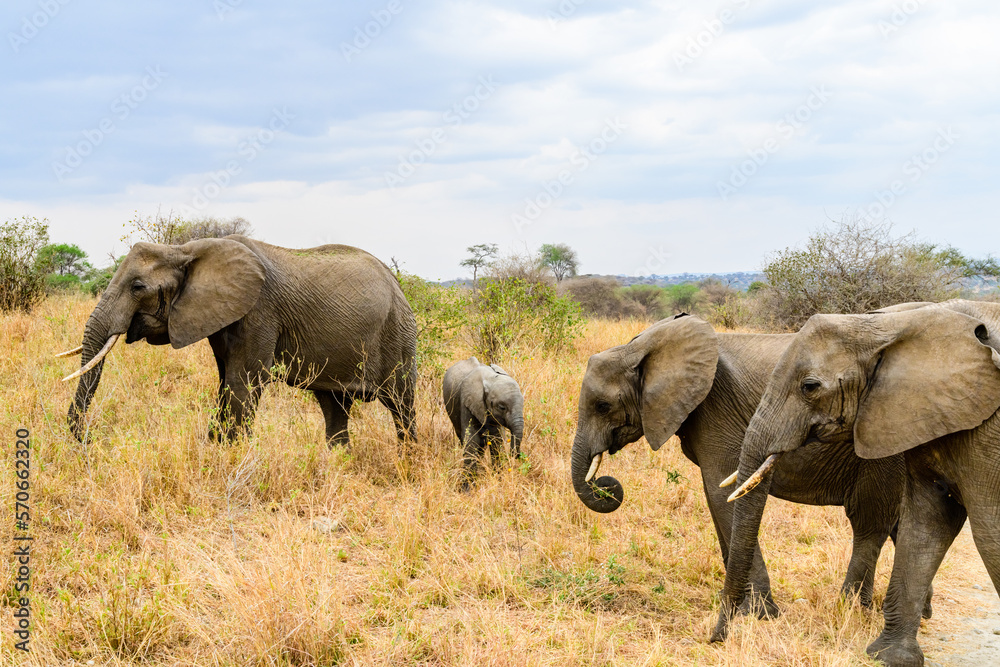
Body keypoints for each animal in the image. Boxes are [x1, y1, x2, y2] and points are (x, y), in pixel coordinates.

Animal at [58, 236, 418, 447]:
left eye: (137, 287)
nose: (89, 439)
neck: (187, 249)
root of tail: (398, 284)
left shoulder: (260, 309)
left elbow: (242, 379)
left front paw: (231, 453)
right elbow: (225, 379)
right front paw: (216, 446)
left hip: (398, 332)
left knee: (401, 402)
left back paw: (408, 457)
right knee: (334, 404)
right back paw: (338, 461)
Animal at [442, 357, 524, 488]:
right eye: (502, 407)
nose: (516, 455)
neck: (490, 380)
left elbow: (497, 440)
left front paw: (498, 480)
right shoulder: (467, 403)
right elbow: (471, 441)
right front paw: (467, 489)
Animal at [570, 314, 918, 619]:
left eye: (603, 406)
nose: (606, 484)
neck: (641, 347)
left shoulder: (715, 407)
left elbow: (721, 491)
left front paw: (757, 614)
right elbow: (715, 495)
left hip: (884, 441)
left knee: (870, 522)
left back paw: (854, 611)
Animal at [712, 300, 1000, 666]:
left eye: (809, 386)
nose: (717, 638)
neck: (895, 322)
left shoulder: (990, 433)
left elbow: (989, 532)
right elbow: (924, 526)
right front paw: (890, 657)